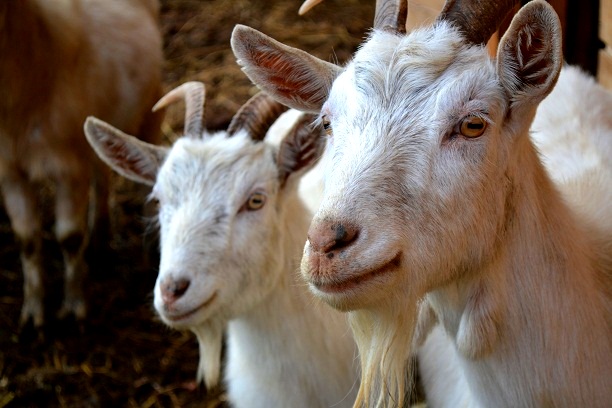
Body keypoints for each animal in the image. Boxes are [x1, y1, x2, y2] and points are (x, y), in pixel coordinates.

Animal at [0, 0, 164, 326]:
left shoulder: (69, 167)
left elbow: (69, 237)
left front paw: (74, 307)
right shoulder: (10, 170)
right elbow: (27, 239)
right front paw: (33, 312)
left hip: (151, 106)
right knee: (102, 177)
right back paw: (99, 239)